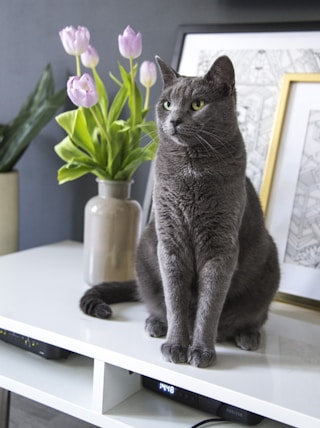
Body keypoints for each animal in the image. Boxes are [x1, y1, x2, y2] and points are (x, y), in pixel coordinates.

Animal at [80, 56, 280, 368]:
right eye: (166, 104)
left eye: (198, 104)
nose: (173, 119)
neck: (191, 169)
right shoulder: (170, 241)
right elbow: (175, 300)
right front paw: (176, 344)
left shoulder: (221, 248)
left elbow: (209, 307)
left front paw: (201, 350)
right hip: (146, 248)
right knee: (157, 302)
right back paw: (156, 323)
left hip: (269, 263)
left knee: (256, 316)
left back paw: (247, 336)